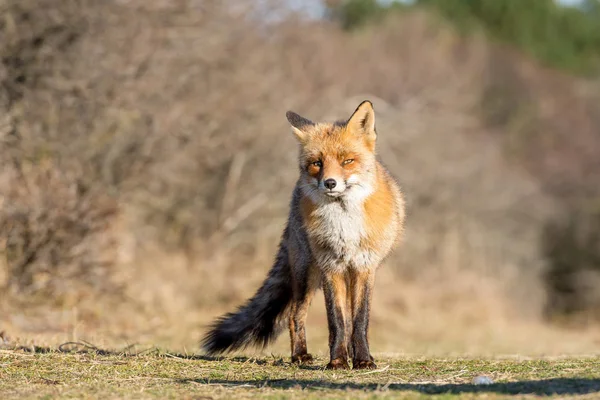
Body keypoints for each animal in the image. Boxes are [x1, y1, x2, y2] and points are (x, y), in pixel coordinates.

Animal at [200, 100, 404, 368]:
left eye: (347, 161)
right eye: (317, 163)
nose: (330, 183)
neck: (344, 224)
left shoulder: (363, 267)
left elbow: (359, 321)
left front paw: (362, 361)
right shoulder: (331, 267)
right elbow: (337, 321)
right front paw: (337, 361)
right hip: (306, 272)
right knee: (294, 315)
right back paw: (300, 355)